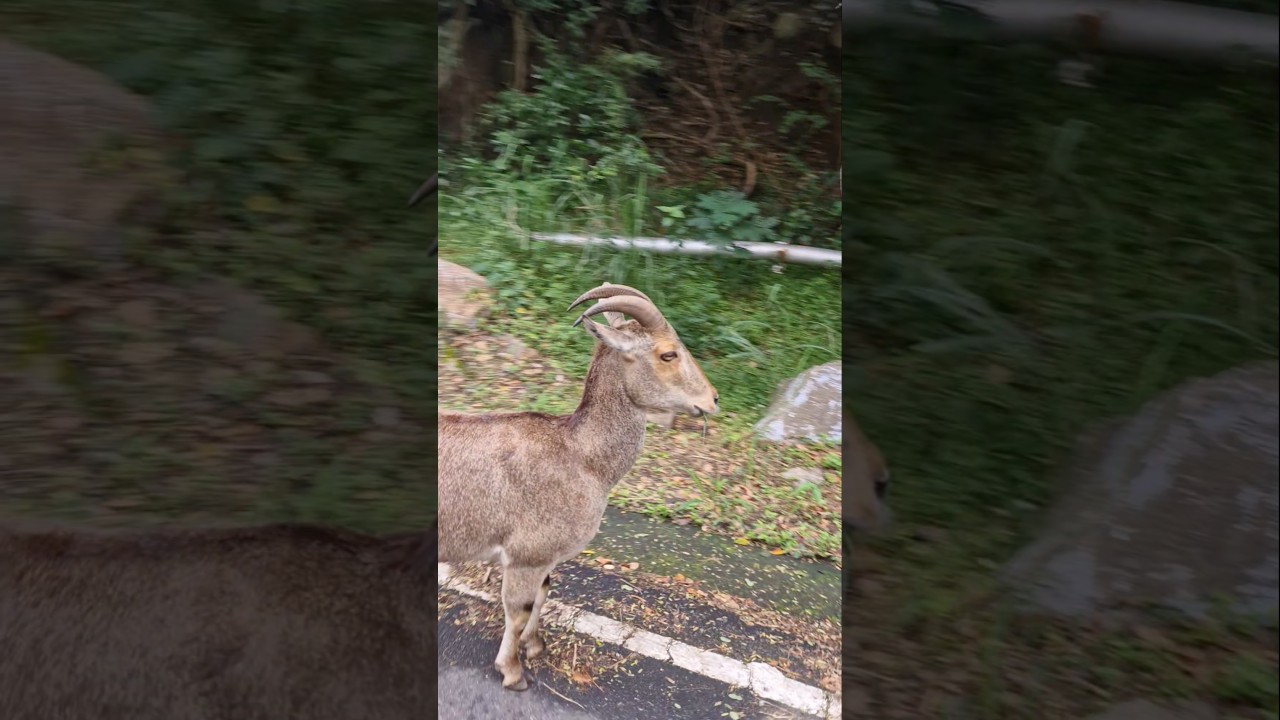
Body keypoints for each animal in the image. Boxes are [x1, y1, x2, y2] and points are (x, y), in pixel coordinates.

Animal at [437, 282, 719, 690]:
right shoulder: (527, 555)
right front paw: (513, 672)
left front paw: (536, 646)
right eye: (668, 353)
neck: (582, 457)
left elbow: (544, 595)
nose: (712, 400)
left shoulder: (546, 560)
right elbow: (518, 610)